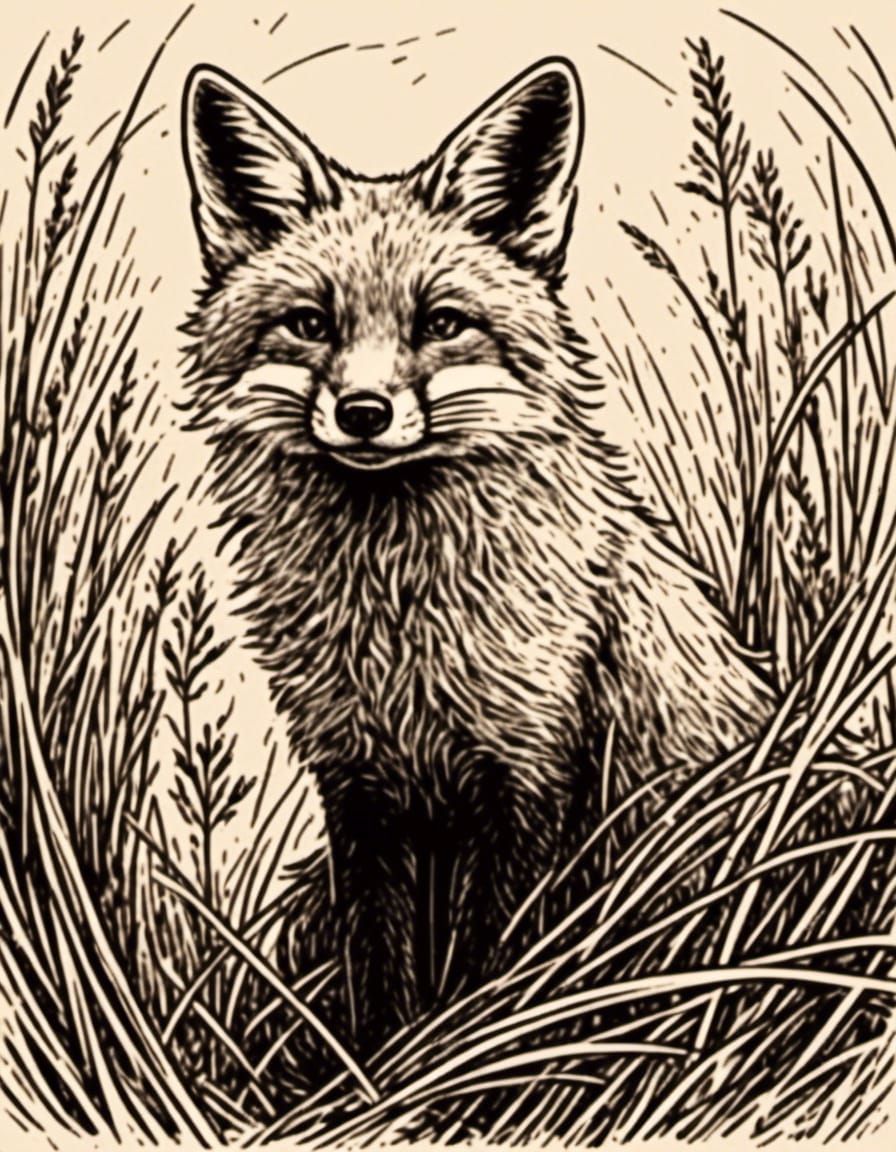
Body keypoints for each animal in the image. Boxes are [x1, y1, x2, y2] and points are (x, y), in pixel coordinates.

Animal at [180, 56, 776, 1053]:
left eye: (442, 322)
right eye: (311, 324)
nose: (364, 412)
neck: (398, 627)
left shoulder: (529, 772)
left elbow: (495, 962)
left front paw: (476, 1063)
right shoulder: (362, 791)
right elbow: (379, 965)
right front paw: (379, 1071)